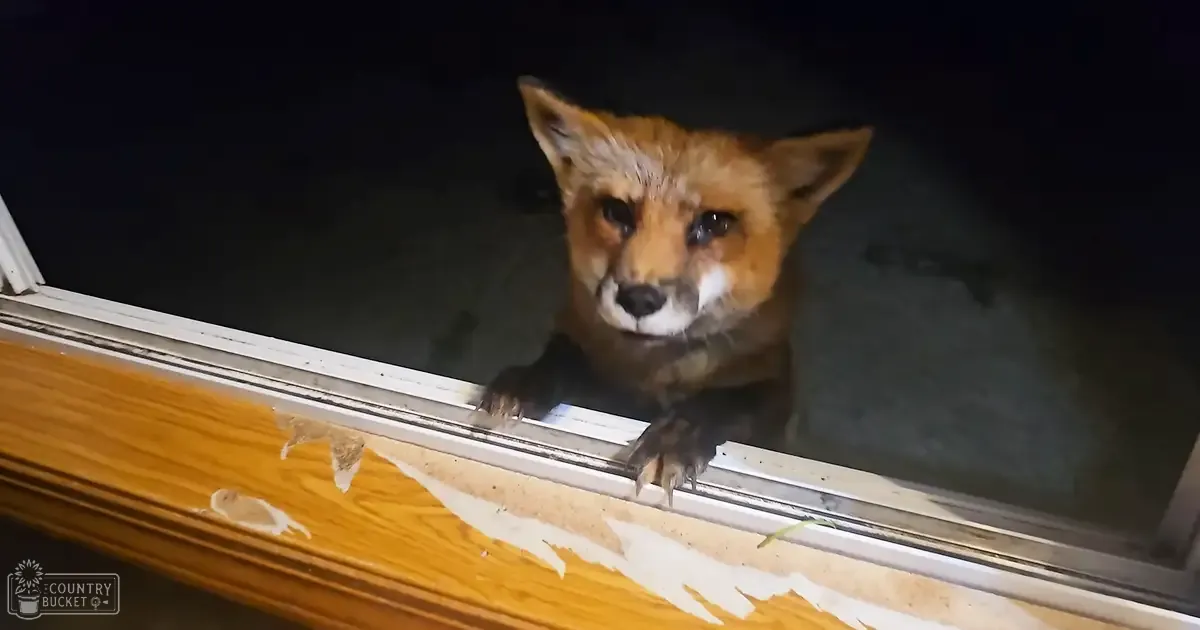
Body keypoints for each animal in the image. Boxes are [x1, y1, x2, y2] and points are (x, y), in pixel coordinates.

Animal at [474, 76, 872, 504]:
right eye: (617, 212)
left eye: (714, 222)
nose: (638, 299)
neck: (654, 374)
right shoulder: (578, 334)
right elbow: (562, 356)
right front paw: (527, 382)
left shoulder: (775, 382)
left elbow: (721, 400)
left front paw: (674, 437)